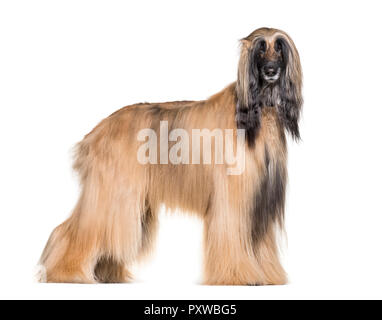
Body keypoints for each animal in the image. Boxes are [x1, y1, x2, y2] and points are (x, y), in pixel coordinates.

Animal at [38, 26, 302, 284]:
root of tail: (96, 132)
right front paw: (238, 275)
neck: (257, 114)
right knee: (73, 230)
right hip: (113, 194)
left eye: (279, 47)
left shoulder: (261, 198)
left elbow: (262, 244)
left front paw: (268, 276)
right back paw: (67, 272)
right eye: (260, 49)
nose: (270, 71)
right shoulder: (233, 196)